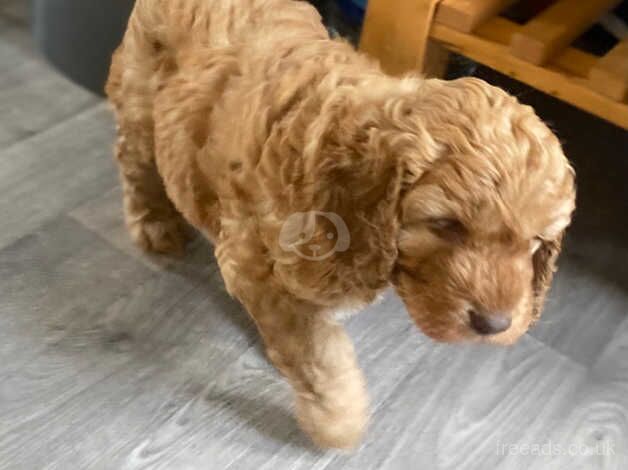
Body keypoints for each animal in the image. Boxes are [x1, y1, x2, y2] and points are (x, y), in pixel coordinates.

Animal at [105, 0, 576, 450]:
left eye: (535, 242)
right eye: (446, 224)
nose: (494, 326)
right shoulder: (254, 263)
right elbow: (318, 354)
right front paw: (338, 422)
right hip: (141, 93)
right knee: (134, 160)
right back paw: (154, 225)